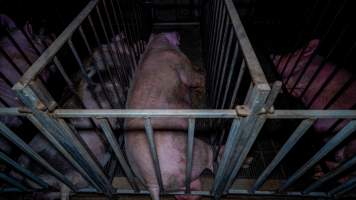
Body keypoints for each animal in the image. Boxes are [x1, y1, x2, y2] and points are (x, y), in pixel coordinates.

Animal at [124, 31, 210, 200]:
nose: (178, 34)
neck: (157, 44)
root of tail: (151, 182)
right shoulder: (180, 61)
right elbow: (194, 78)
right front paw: (204, 77)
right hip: (190, 152)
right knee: (208, 156)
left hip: (177, 184)